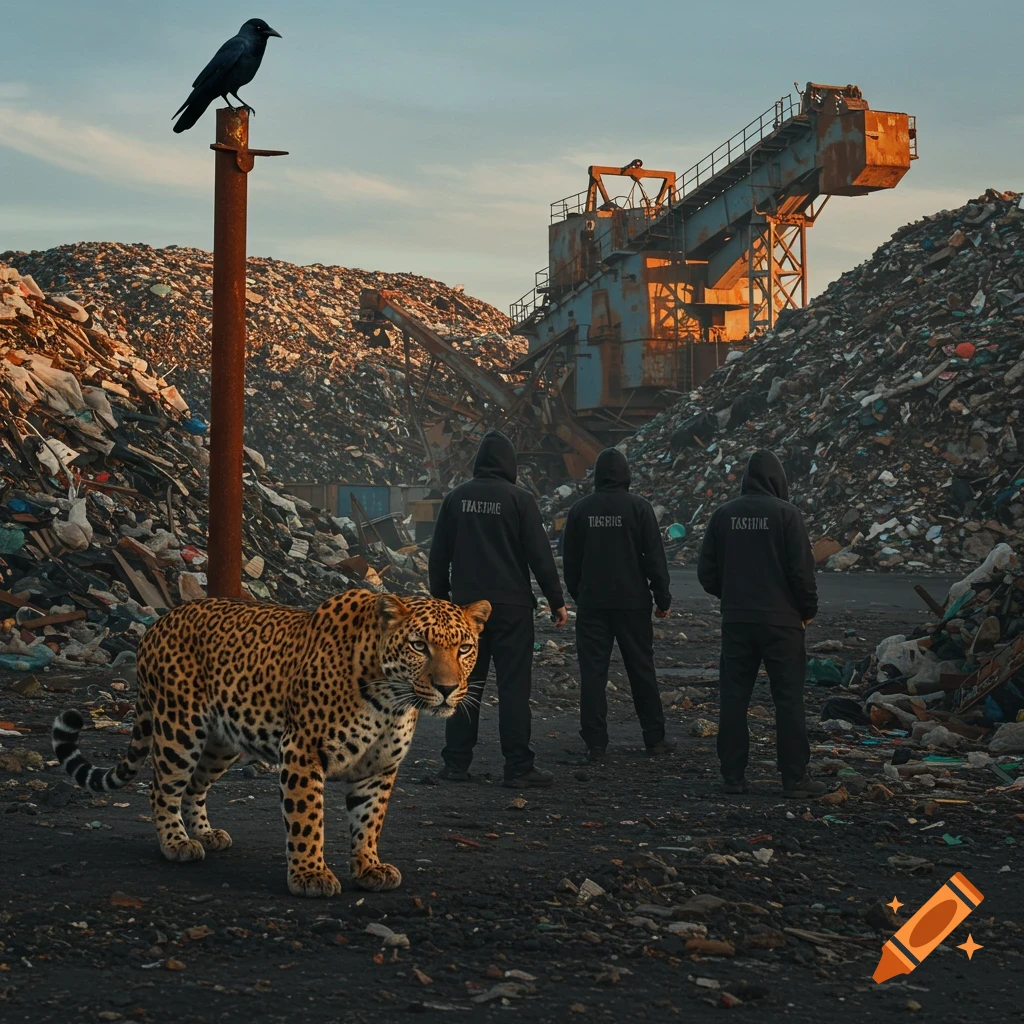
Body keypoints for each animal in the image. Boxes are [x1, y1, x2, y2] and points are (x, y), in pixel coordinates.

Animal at [51, 590, 490, 897]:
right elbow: (307, 819)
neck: (391, 701)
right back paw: (177, 842)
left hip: (221, 741)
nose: (447, 689)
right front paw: (310, 876)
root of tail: (160, 620)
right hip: (180, 727)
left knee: (194, 787)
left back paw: (206, 834)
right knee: (162, 788)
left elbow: (369, 822)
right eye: (419, 646)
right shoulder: (302, 752)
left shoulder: (379, 769)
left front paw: (368, 868)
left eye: (465, 648)